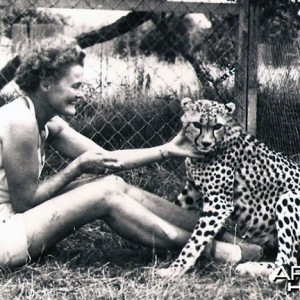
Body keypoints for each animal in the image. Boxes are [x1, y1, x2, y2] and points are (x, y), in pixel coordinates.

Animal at [157, 98, 300, 282]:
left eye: (217, 126)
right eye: (197, 124)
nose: (206, 143)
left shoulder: (219, 203)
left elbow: (195, 240)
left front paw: (176, 269)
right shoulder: (192, 189)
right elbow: (176, 205)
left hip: (287, 198)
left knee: (287, 261)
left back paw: (251, 267)